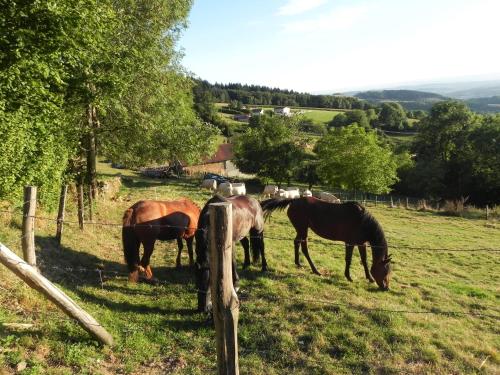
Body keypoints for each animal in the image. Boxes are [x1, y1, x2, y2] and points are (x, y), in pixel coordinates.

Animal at [260, 198, 392, 292]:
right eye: (385, 271)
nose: (386, 288)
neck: (362, 221)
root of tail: (294, 200)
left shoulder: (361, 243)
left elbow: (364, 260)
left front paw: (369, 278)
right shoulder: (350, 243)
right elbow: (348, 259)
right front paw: (348, 277)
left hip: (301, 230)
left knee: (297, 243)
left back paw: (298, 263)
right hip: (303, 229)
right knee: (304, 248)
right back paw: (316, 270)